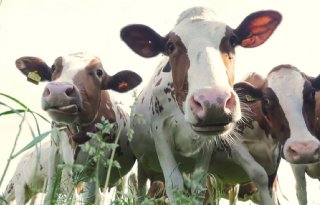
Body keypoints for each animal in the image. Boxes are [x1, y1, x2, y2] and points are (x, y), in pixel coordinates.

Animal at [13, 52, 141, 203]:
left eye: (99, 72)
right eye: (53, 67)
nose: (58, 91)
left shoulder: (98, 161)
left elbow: (91, 198)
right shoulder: (55, 152)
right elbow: (52, 194)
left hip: (121, 177)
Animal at [119, 5, 280, 204]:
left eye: (233, 40)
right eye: (170, 46)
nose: (213, 102)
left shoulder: (208, 145)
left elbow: (198, 188)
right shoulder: (160, 132)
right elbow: (174, 186)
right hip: (143, 165)